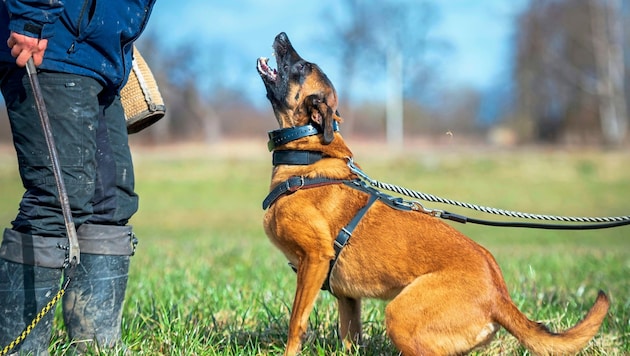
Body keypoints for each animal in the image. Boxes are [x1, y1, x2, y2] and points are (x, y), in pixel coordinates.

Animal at [256, 32, 612, 354]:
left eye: (302, 66)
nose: (282, 36)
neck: (309, 156)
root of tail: (499, 296)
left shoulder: (314, 261)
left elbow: (296, 323)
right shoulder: (348, 297)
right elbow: (350, 338)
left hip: (399, 315)